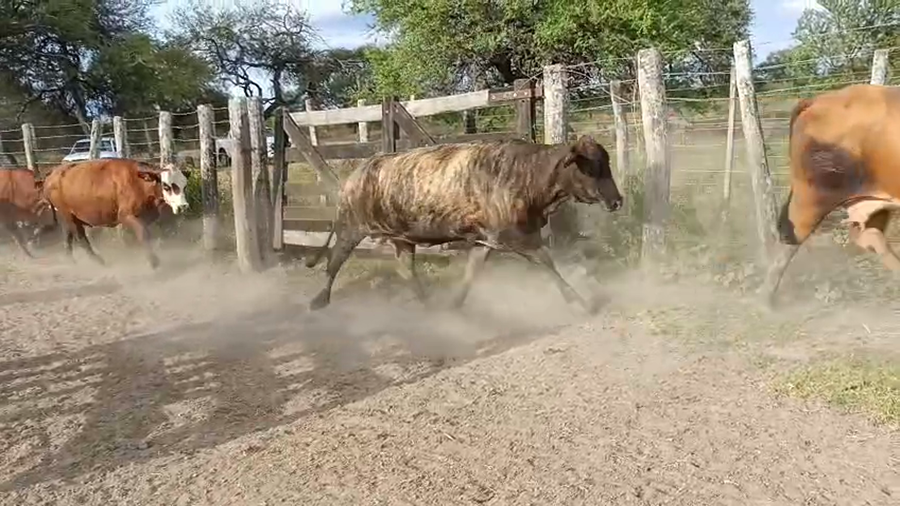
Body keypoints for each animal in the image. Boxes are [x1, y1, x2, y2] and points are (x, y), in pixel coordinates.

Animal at [41, 158, 189, 269]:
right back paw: (99, 262)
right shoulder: (126, 216)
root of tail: (51, 176)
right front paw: (153, 261)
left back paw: (71, 261)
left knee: (67, 236)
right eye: (166, 186)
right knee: (81, 239)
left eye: (185, 186)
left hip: (67, 217)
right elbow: (143, 234)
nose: (183, 206)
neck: (139, 183)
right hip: (69, 217)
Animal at [304, 135, 623, 313]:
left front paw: (455, 304)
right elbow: (548, 264)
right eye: (591, 166)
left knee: (406, 270)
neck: (526, 175)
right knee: (334, 260)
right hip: (350, 228)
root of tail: (359, 171)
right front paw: (580, 302)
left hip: (401, 239)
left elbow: (472, 273)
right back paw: (318, 300)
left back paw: (429, 304)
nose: (617, 200)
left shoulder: (487, 241)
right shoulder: (517, 237)